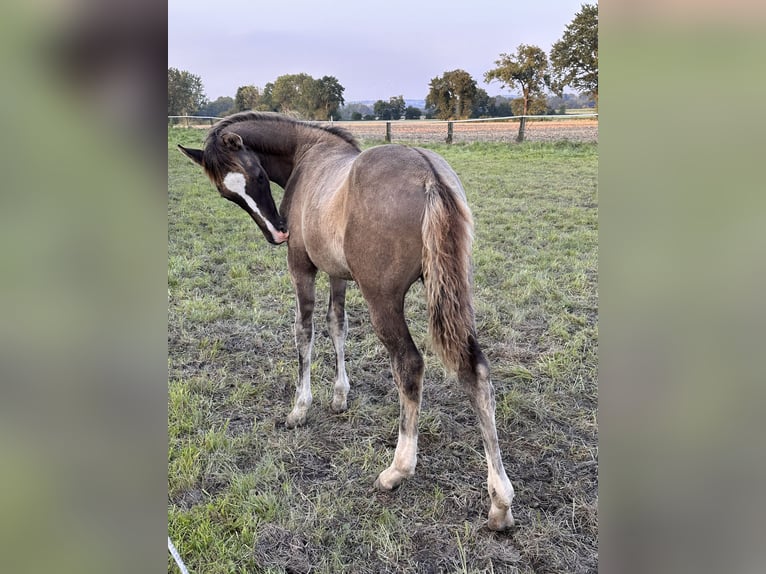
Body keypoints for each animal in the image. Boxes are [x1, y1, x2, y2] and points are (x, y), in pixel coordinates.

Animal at [180, 111, 516, 532]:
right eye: (228, 195)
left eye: (256, 174)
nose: (278, 233)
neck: (308, 152)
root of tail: (429, 175)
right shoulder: (337, 273)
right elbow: (336, 325)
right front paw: (340, 396)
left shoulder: (302, 267)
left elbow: (304, 331)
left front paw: (300, 408)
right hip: (454, 290)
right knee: (476, 371)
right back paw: (500, 502)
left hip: (383, 300)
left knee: (409, 365)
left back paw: (397, 470)